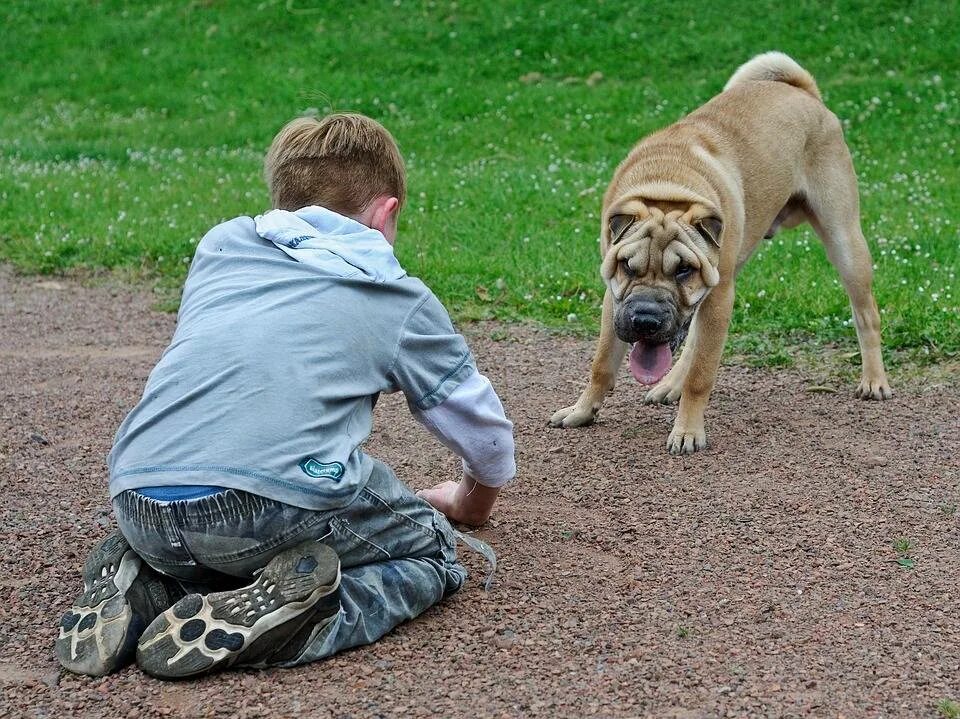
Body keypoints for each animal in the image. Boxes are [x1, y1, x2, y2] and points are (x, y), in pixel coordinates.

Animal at [552, 52, 896, 456]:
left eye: (683, 270)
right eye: (627, 267)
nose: (646, 320)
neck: (668, 188)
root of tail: (804, 91)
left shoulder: (718, 296)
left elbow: (702, 374)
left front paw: (687, 430)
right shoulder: (616, 298)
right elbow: (602, 364)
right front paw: (582, 410)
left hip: (844, 241)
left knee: (866, 314)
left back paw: (874, 379)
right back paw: (670, 384)